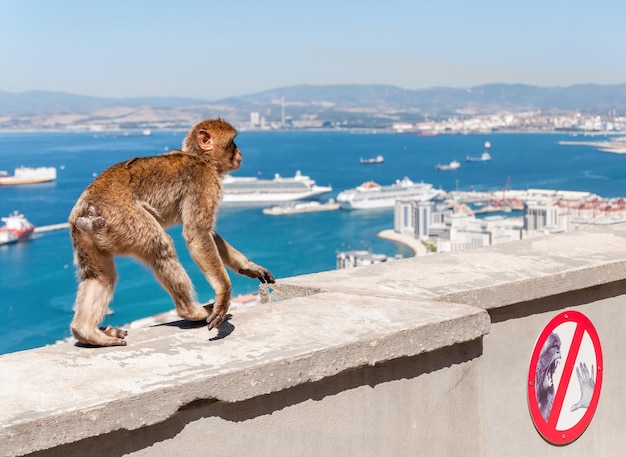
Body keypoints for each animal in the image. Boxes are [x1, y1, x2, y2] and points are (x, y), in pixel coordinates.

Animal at [68, 117, 272, 346]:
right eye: (232, 142)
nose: (240, 152)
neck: (201, 158)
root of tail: (87, 207)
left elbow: (208, 234)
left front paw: (248, 266)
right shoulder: (204, 180)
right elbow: (197, 234)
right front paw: (223, 293)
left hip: (85, 235)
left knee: (101, 277)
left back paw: (87, 332)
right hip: (123, 219)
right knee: (160, 247)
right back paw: (191, 311)